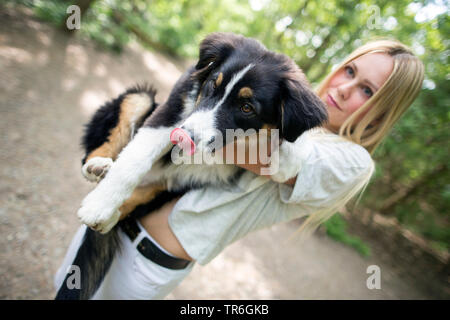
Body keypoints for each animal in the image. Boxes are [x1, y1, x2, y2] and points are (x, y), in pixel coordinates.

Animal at [55, 32, 326, 300]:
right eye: (212, 85)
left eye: (247, 107)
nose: (182, 136)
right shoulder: (170, 112)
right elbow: (134, 161)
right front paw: (99, 205)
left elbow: (299, 134)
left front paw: (291, 157)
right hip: (140, 98)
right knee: (102, 147)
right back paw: (99, 167)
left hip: (176, 184)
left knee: (140, 196)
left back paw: (111, 215)